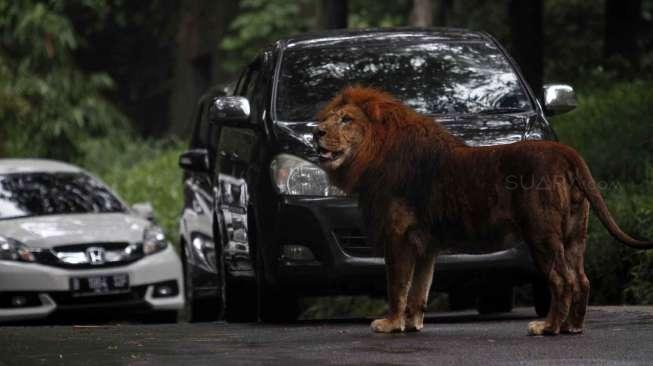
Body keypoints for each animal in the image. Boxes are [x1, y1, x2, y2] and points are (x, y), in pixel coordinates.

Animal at [314, 85, 648, 334]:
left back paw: (547, 327)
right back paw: (572, 327)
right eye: (328, 118)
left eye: (346, 120)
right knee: (581, 279)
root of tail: (566, 152)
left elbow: (396, 285)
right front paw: (412, 324)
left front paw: (389, 323)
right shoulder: (426, 245)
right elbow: (420, 289)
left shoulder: (399, 235)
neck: (371, 154)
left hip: (541, 234)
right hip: (575, 235)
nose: (316, 133)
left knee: (561, 281)